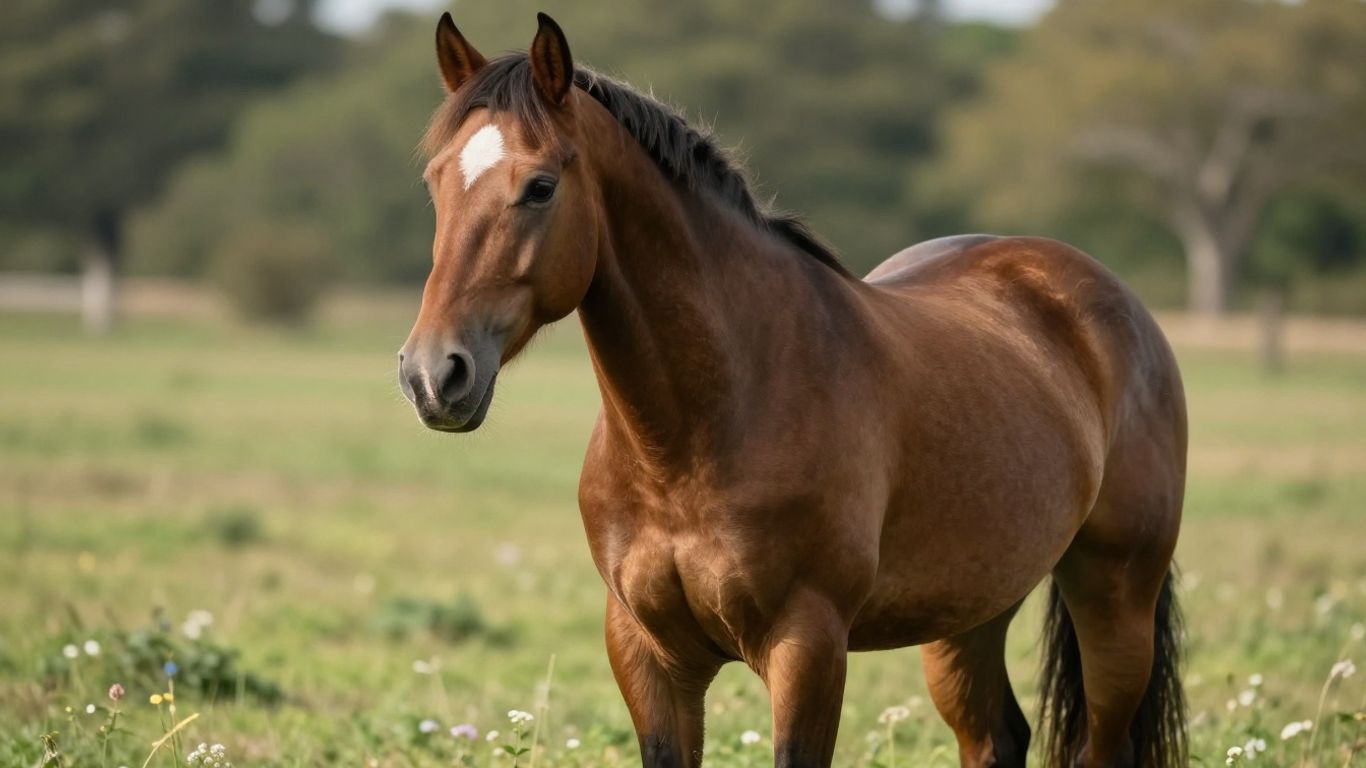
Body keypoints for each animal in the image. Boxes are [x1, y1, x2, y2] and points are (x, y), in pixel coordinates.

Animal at [398, 13, 1187, 768]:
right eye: (434, 182)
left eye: (540, 186)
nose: (432, 374)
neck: (704, 430)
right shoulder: (647, 653)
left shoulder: (807, 646)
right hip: (969, 613)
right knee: (995, 739)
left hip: (1114, 600)